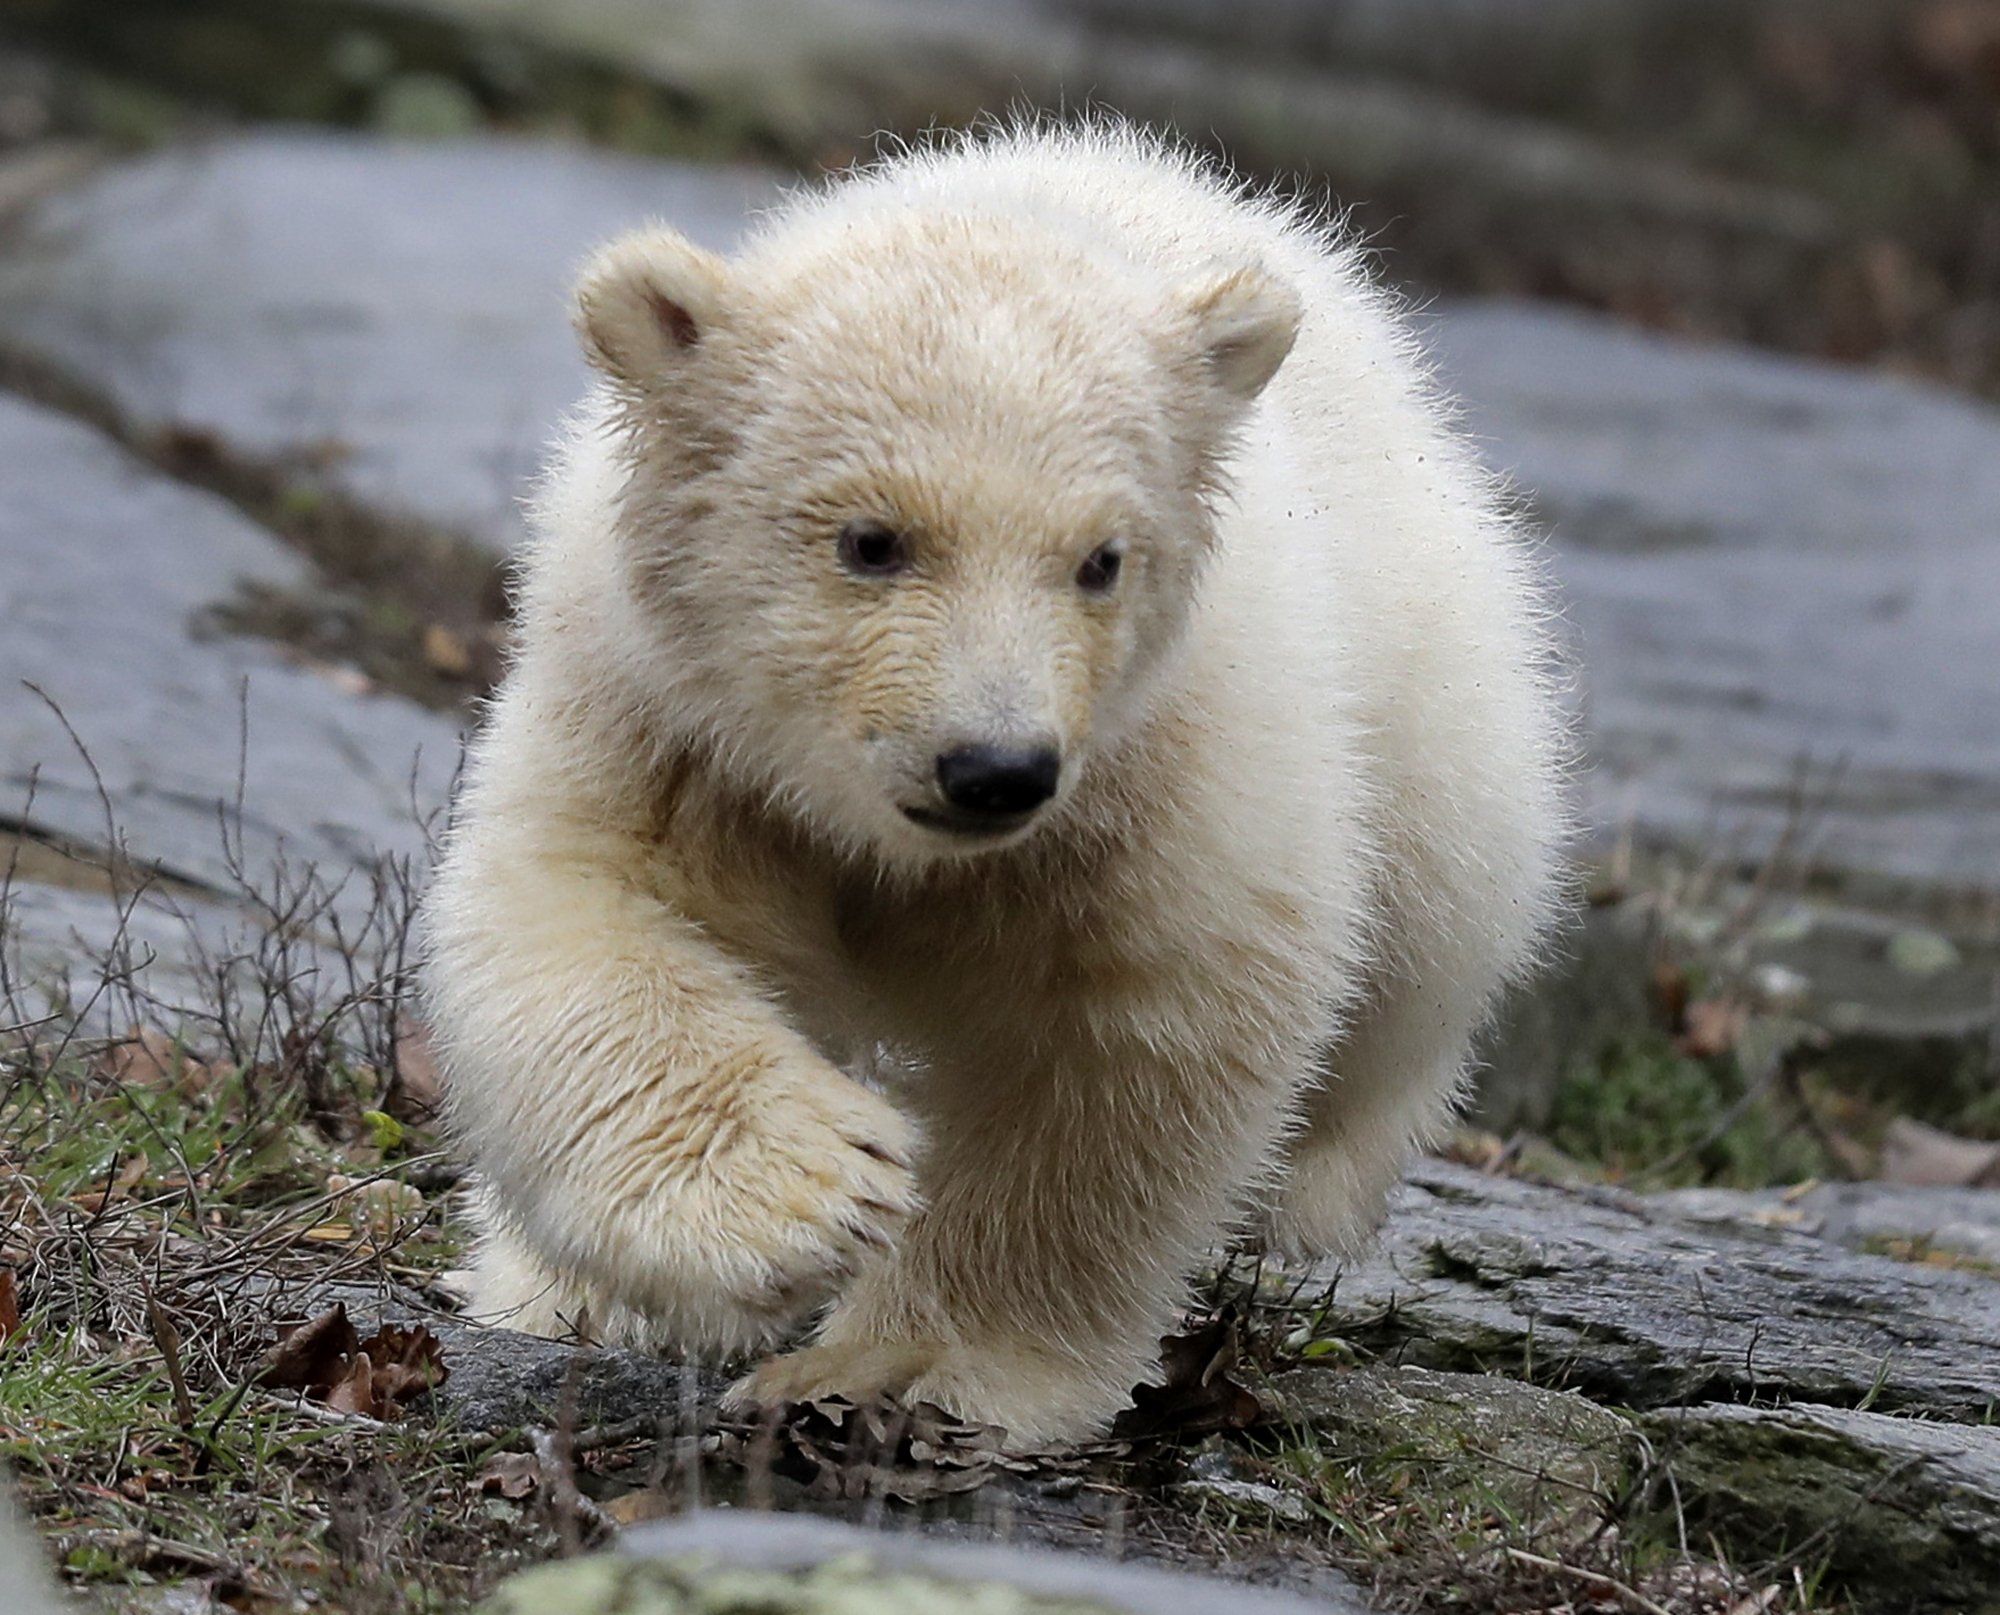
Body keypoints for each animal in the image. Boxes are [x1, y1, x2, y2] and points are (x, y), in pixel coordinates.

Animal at [421, 119, 1567, 1447]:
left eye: (1100, 561)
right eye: (870, 540)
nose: (992, 769)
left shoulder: (1158, 769)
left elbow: (1127, 1041)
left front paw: (900, 1365)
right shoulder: (671, 719)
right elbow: (589, 901)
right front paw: (797, 1204)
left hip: (1434, 707)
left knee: (1425, 947)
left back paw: (1315, 1181)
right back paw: (553, 1286)